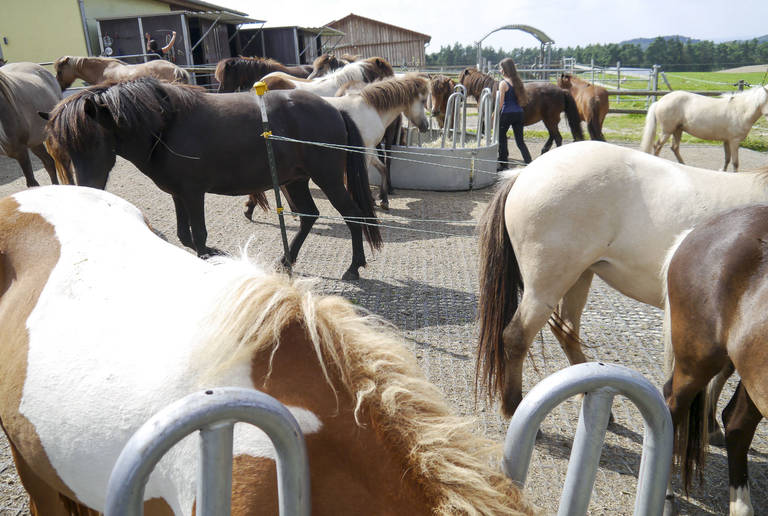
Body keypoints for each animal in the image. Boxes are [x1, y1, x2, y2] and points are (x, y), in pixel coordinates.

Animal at [41, 77, 380, 280]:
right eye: (65, 147)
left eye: (95, 140)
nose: (86, 189)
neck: (166, 127)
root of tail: (334, 110)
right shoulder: (178, 194)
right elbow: (184, 235)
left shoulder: (193, 193)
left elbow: (199, 235)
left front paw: (213, 257)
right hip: (294, 180)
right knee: (309, 215)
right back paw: (285, 262)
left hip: (328, 179)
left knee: (353, 216)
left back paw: (353, 268)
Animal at [476, 141, 768, 428]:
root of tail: (524, 173)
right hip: (546, 286)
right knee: (516, 337)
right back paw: (514, 406)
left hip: (579, 275)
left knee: (566, 330)